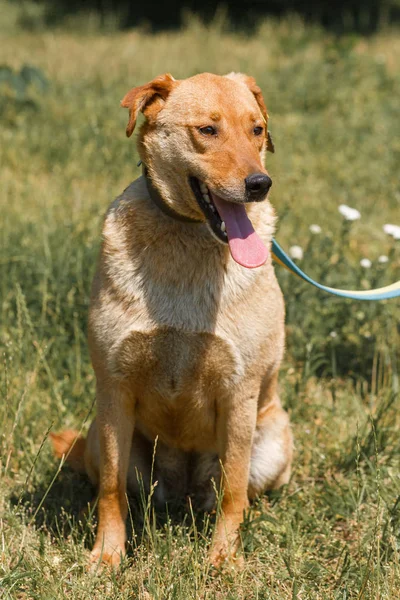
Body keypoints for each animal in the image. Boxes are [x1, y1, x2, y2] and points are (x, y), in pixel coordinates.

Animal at [51, 72, 292, 568]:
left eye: (257, 130)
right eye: (208, 130)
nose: (260, 183)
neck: (189, 234)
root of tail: (184, 490)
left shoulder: (240, 392)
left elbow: (234, 491)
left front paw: (223, 560)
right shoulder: (115, 387)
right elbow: (111, 490)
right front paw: (107, 555)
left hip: (273, 439)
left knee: (235, 491)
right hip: (105, 434)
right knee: (116, 484)